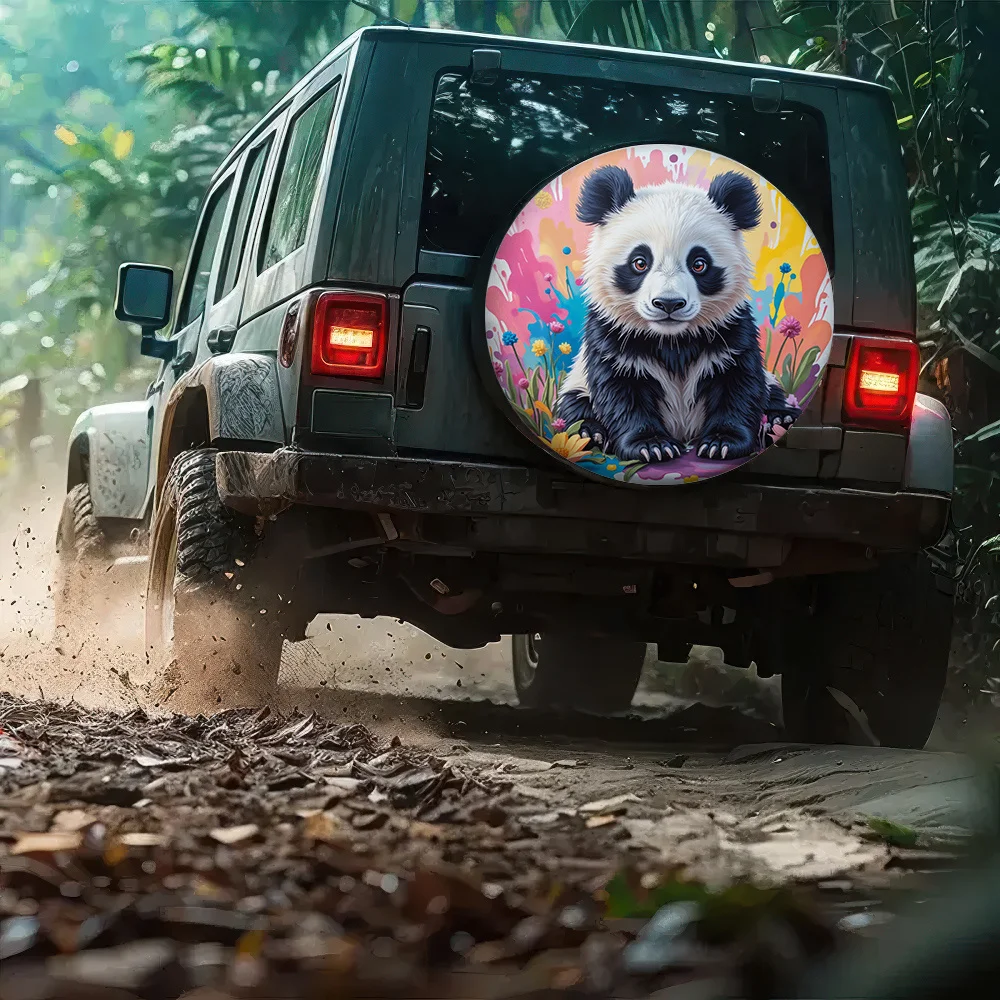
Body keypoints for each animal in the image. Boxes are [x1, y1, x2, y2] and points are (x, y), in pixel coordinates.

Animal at [554, 164, 799, 464]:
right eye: (640, 262)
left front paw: (722, 442)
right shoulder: (612, 336)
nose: (668, 303)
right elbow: (621, 394)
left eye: (699, 263)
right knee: (573, 406)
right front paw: (652, 446)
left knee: (772, 393)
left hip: (770, 381)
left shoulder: (732, 333)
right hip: (576, 382)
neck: (673, 340)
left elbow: (739, 385)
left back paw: (780, 419)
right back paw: (590, 432)